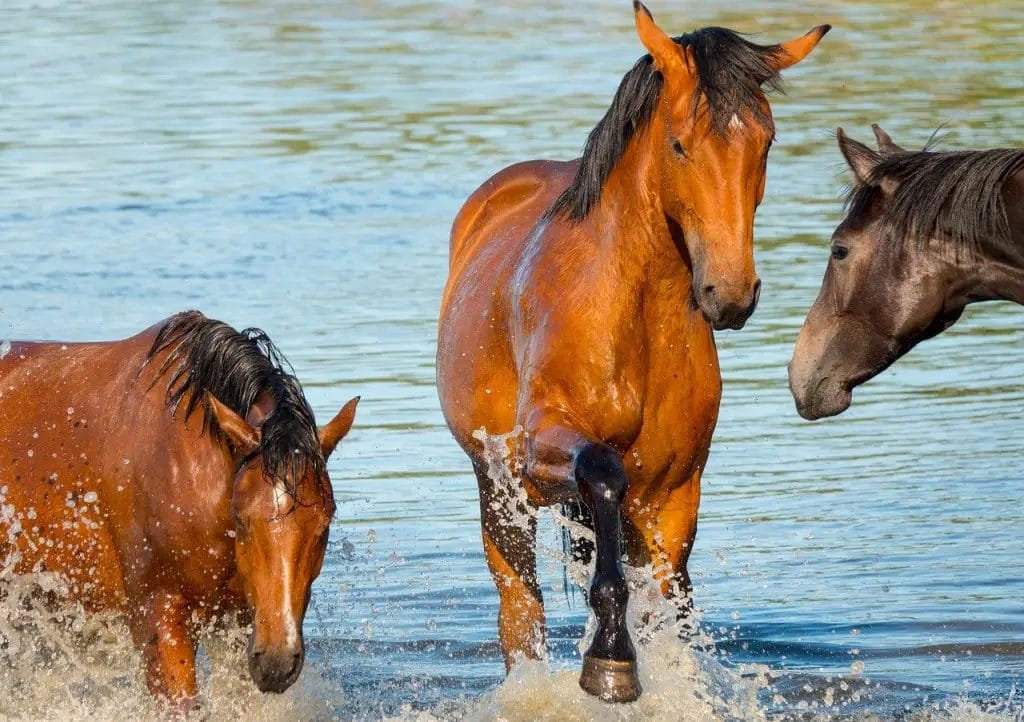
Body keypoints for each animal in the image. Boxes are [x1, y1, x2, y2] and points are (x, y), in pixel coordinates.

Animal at [436, 1, 829, 703]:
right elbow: (603, 475)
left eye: (766, 143)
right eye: (679, 144)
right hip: (499, 494)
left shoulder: (673, 493)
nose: (730, 294)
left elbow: (669, 606)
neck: (635, 318)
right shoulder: (544, 452)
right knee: (521, 612)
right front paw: (610, 657)